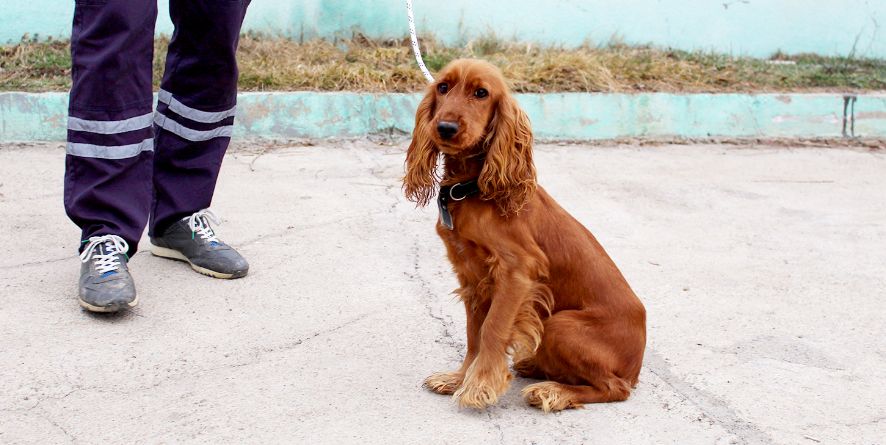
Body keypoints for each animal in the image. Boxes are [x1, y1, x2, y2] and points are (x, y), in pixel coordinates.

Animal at [402, 58, 644, 410]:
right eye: (443, 87)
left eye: (481, 93)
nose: (445, 127)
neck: (472, 188)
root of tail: (636, 365)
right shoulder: (472, 277)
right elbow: (473, 334)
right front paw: (460, 378)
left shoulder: (517, 272)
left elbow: (492, 329)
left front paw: (479, 386)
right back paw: (536, 367)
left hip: (561, 324)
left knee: (615, 388)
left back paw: (554, 391)